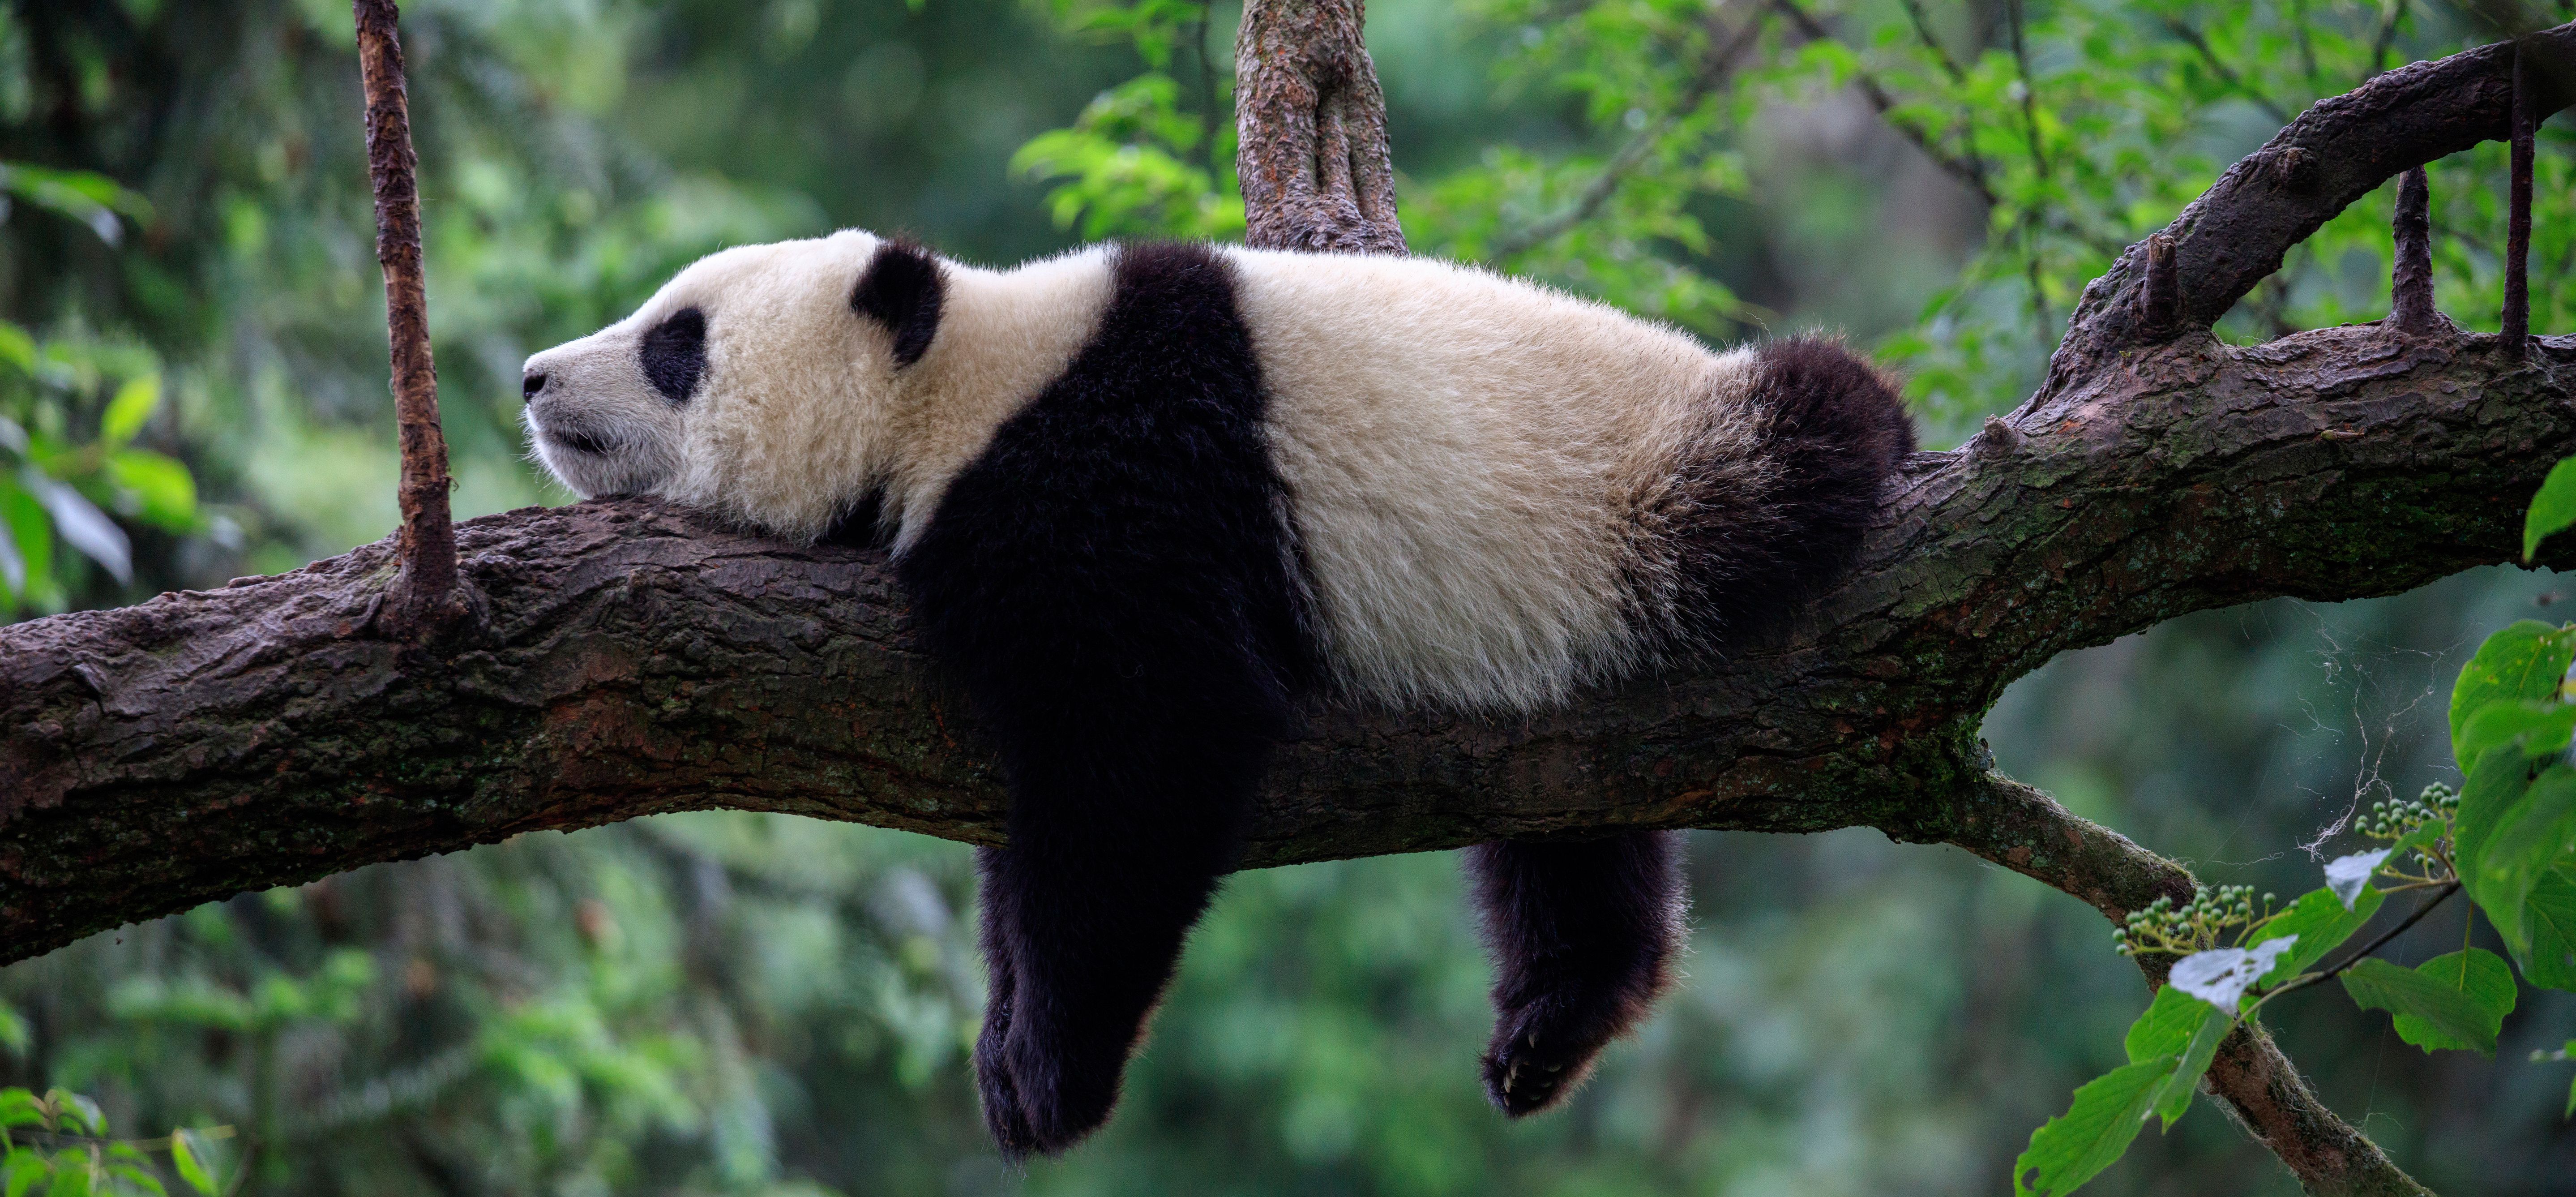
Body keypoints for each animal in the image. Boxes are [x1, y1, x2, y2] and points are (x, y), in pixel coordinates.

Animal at [521, 230, 1914, 1157]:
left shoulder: (1119, 477)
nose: (534, 377)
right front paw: (1006, 1037)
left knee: (1798, 436)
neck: (966, 379)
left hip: (1648, 487)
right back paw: (1555, 1019)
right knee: (1570, 828)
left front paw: (1048, 1073)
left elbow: (1148, 750)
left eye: (676, 342)